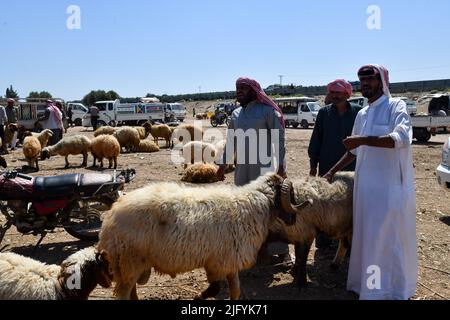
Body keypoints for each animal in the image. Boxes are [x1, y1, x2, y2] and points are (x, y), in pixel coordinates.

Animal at [96, 172, 298, 300]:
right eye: (290, 194)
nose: (294, 218)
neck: (254, 205)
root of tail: (110, 216)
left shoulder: (229, 260)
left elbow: (235, 290)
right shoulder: (218, 262)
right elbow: (216, 288)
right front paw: (199, 297)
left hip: (132, 264)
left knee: (132, 292)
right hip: (129, 261)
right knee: (125, 294)